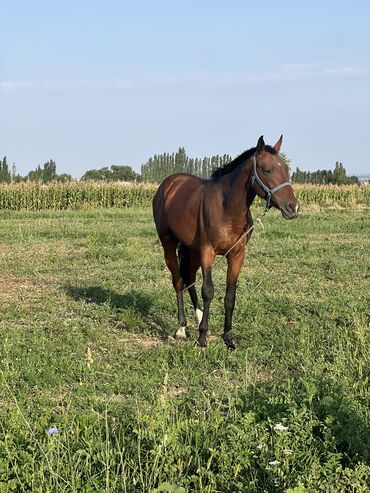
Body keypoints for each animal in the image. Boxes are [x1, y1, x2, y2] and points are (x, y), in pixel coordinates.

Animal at [152, 135, 300, 348]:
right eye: (267, 170)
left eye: (287, 170)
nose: (293, 207)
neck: (227, 207)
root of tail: (169, 183)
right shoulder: (208, 251)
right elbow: (208, 290)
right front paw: (202, 338)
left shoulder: (237, 254)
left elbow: (230, 295)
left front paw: (228, 338)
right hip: (169, 243)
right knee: (179, 281)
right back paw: (182, 328)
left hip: (192, 249)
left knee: (189, 277)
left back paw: (198, 318)